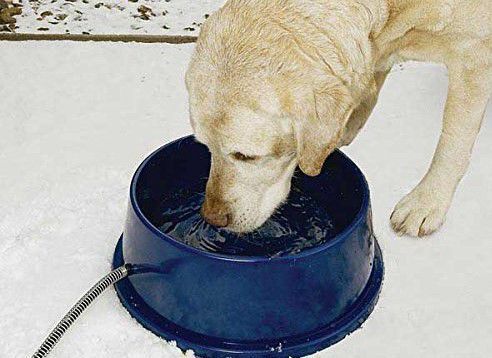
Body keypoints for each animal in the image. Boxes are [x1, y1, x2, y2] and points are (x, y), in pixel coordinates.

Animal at [185, 0, 492, 238]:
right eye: (206, 147)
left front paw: (427, 202)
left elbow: (452, 142)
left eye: (246, 156)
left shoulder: (473, 55)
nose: (212, 218)